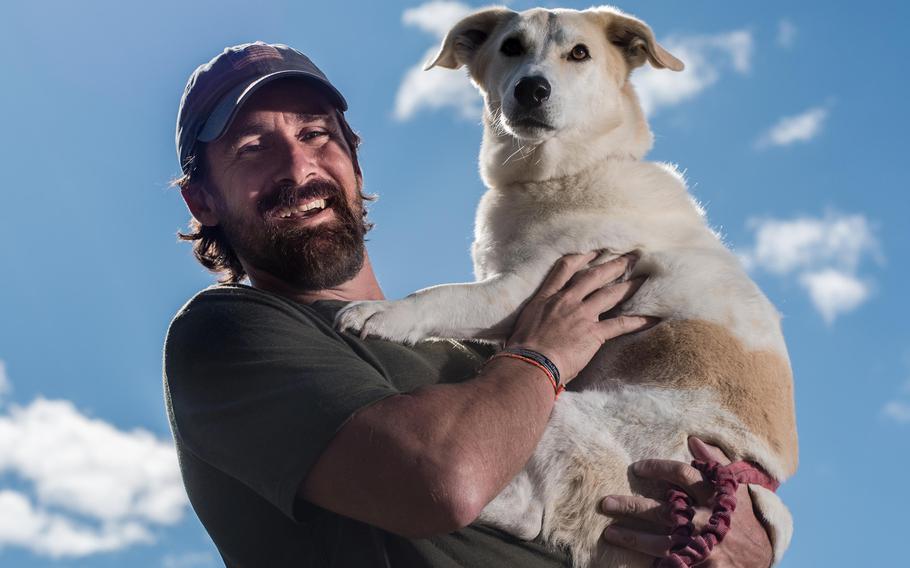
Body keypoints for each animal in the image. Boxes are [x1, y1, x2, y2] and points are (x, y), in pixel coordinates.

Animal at [336, 5, 800, 568]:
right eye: (511, 46)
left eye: (579, 53)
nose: (531, 89)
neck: (556, 176)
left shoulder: (523, 290)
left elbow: (443, 296)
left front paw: (383, 313)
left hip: (555, 413)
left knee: (526, 510)